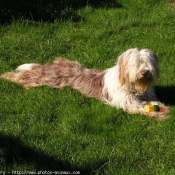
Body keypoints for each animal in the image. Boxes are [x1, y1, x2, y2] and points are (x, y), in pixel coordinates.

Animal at [0, 47, 170, 119]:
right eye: (136, 63)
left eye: (147, 62)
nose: (145, 72)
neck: (135, 87)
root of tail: (48, 67)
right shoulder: (127, 102)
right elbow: (140, 107)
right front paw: (160, 113)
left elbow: (152, 102)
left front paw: (162, 107)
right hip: (39, 79)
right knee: (19, 76)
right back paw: (5, 75)